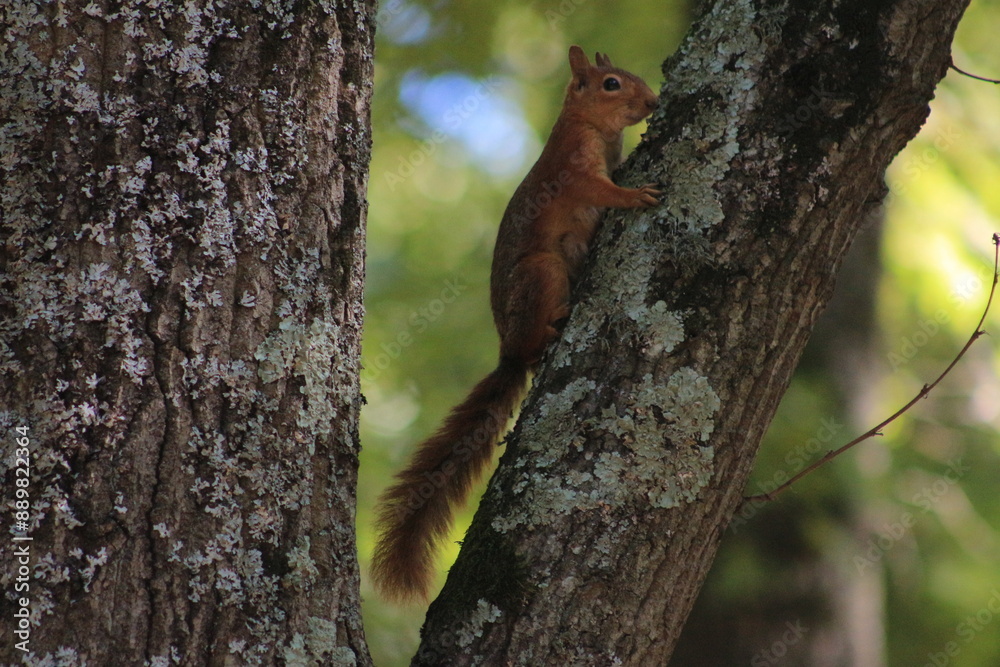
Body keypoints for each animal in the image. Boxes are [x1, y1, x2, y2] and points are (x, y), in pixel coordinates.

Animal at [372, 45, 661, 603]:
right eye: (612, 84)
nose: (654, 102)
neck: (588, 126)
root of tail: (505, 348)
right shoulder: (573, 170)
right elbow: (602, 191)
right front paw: (638, 194)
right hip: (542, 272)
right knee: (532, 346)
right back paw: (552, 328)